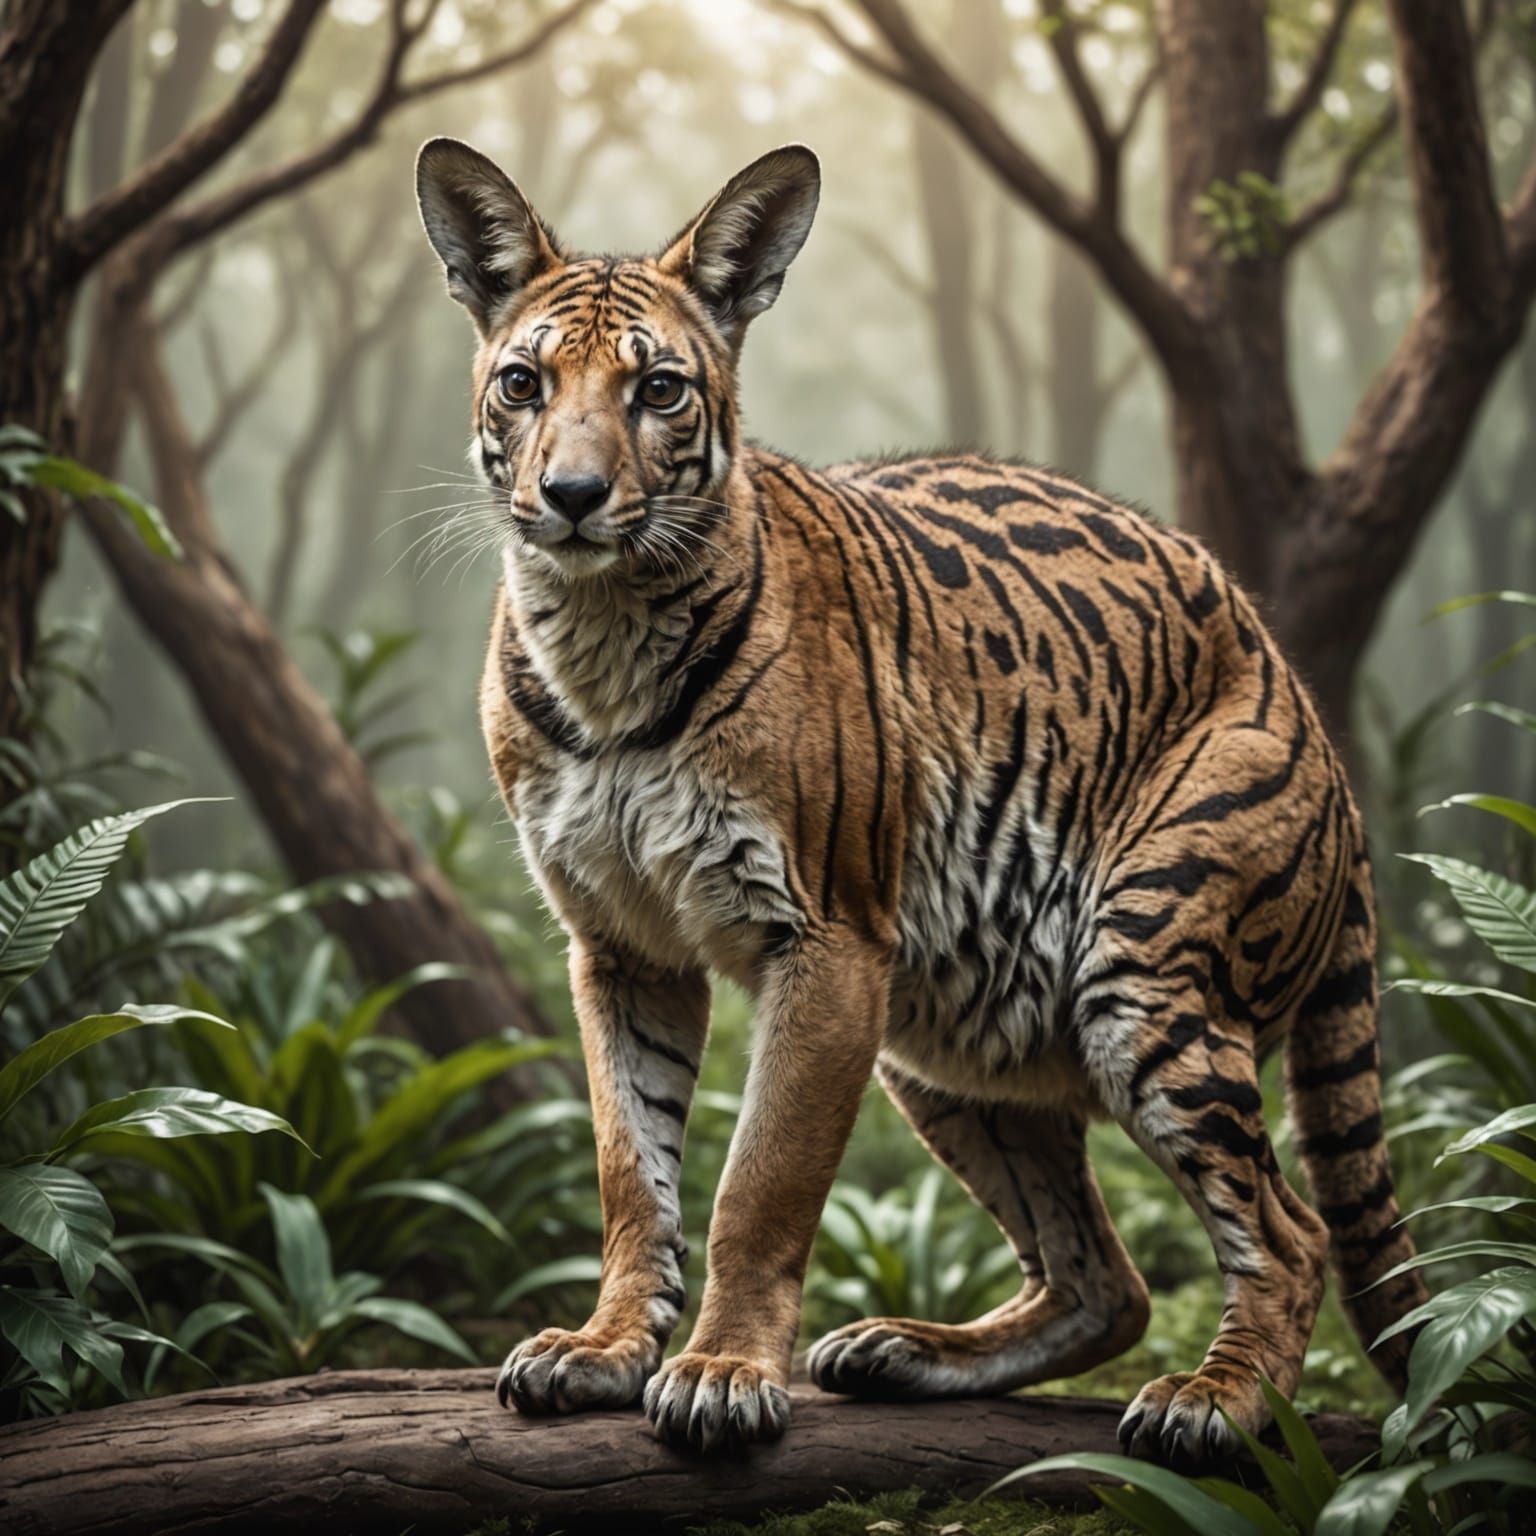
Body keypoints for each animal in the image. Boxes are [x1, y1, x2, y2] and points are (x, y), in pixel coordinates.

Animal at [414, 137, 1427, 1464]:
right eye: (525, 384)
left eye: (661, 391)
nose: (574, 494)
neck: (599, 628)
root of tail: (1307, 705)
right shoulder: (621, 947)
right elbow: (632, 1171)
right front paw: (606, 1348)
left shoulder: (826, 939)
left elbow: (760, 1185)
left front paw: (721, 1372)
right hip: (952, 1033)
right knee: (1106, 1279)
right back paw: (905, 1351)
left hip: (1148, 959)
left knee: (1290, 1232)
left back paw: (1215, 1401)